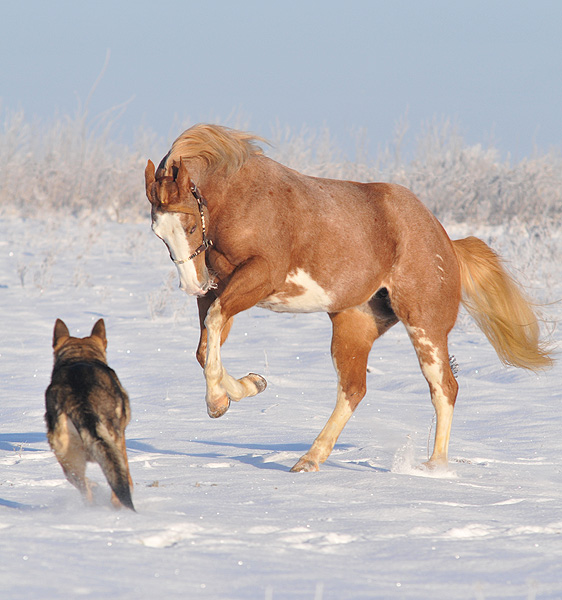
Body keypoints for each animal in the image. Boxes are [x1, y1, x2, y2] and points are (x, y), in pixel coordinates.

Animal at [45, 318, 135, 510]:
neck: (80, 356)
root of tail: (79, 397)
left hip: (65, 454)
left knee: (84, 490)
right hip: (112, 444)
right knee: (117, 487)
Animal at [145, 124, 552, 474]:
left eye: (189, 225)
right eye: (158, 233)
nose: (193, 284)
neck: (242, 200)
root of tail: (445, 240)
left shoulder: (259, 277)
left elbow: (213, 325)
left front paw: (217, 402)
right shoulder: (220, 289)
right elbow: (205, 348)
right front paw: (250, 385)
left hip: (425, 326)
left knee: (444, 388)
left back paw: (434, 467)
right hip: (354, 324)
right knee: (353, 390)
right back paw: (310, 459)